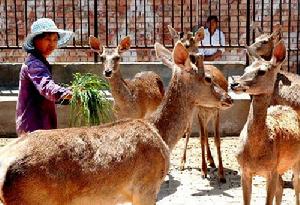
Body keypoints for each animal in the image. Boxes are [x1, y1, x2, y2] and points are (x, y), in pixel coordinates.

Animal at [165, 25, 231, 183]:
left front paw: (221, 174)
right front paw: (203, 171)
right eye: (175, 41)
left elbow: (217, 139)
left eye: (189, 44)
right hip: (194, 111)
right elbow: (201, 138)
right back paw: (183, 163)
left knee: (205, 133)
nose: (192, 58)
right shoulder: (200, 111)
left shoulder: (217, 111)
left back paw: (211, 160)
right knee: (191, 130)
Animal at [230, 39, 300, 204]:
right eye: (246, 68)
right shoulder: (245, 171)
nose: (234, 84)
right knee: (282, 186)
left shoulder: (271, 170)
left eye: (262, 71)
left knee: (296, 184)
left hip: (296, 161)